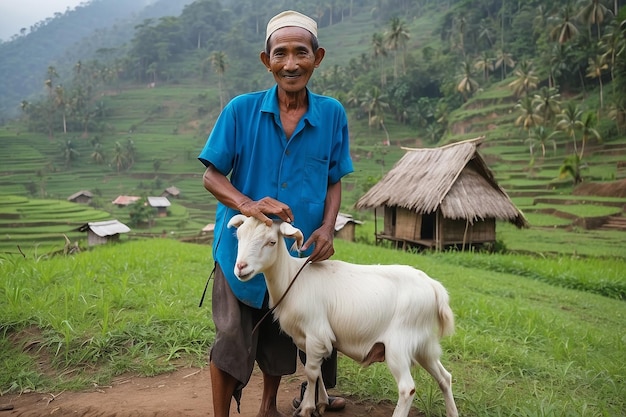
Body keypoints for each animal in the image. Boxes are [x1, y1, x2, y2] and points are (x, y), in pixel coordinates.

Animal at [227, 214, 456, 416]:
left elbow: (311, 372)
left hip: (398, 345)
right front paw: (320, 404)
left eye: (272, 242)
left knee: (407, 388)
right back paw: (452, 412)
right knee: (445, 377)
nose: (240, 268)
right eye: (239, 236)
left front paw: (307, 408)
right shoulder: (309, 340)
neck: (292, 278)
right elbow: (317, 370)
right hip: (423, 344)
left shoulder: (316, 333)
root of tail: (434, 287)